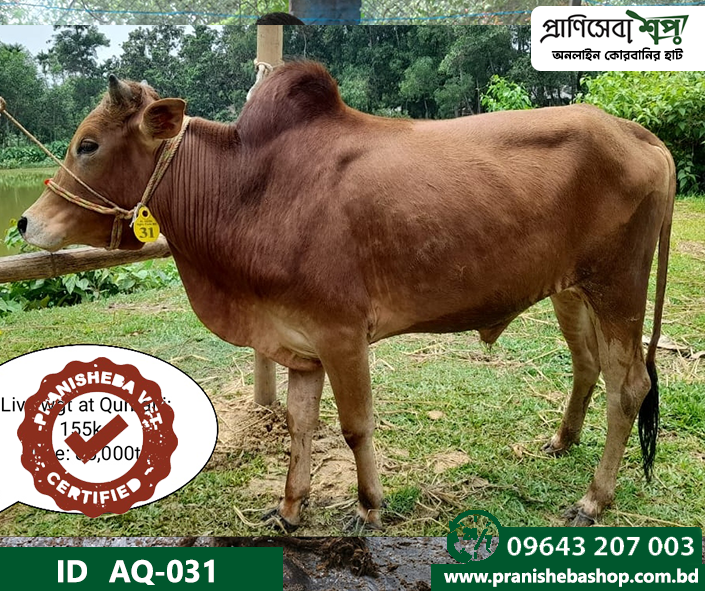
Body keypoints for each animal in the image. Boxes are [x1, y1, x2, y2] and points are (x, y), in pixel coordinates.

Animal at [19, 61, 675, 530]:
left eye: (89, 145)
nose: (25, 222)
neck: (246, 191)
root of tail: (638, 133)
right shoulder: (300, 343)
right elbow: (300, 425)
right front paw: (290, 509)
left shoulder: (342, 335)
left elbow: (356, 426)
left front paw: (369, 507)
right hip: (574, 291)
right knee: (588, 366)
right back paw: (563, 444)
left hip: (619, 287)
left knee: (629, 387)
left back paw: (594, 499)